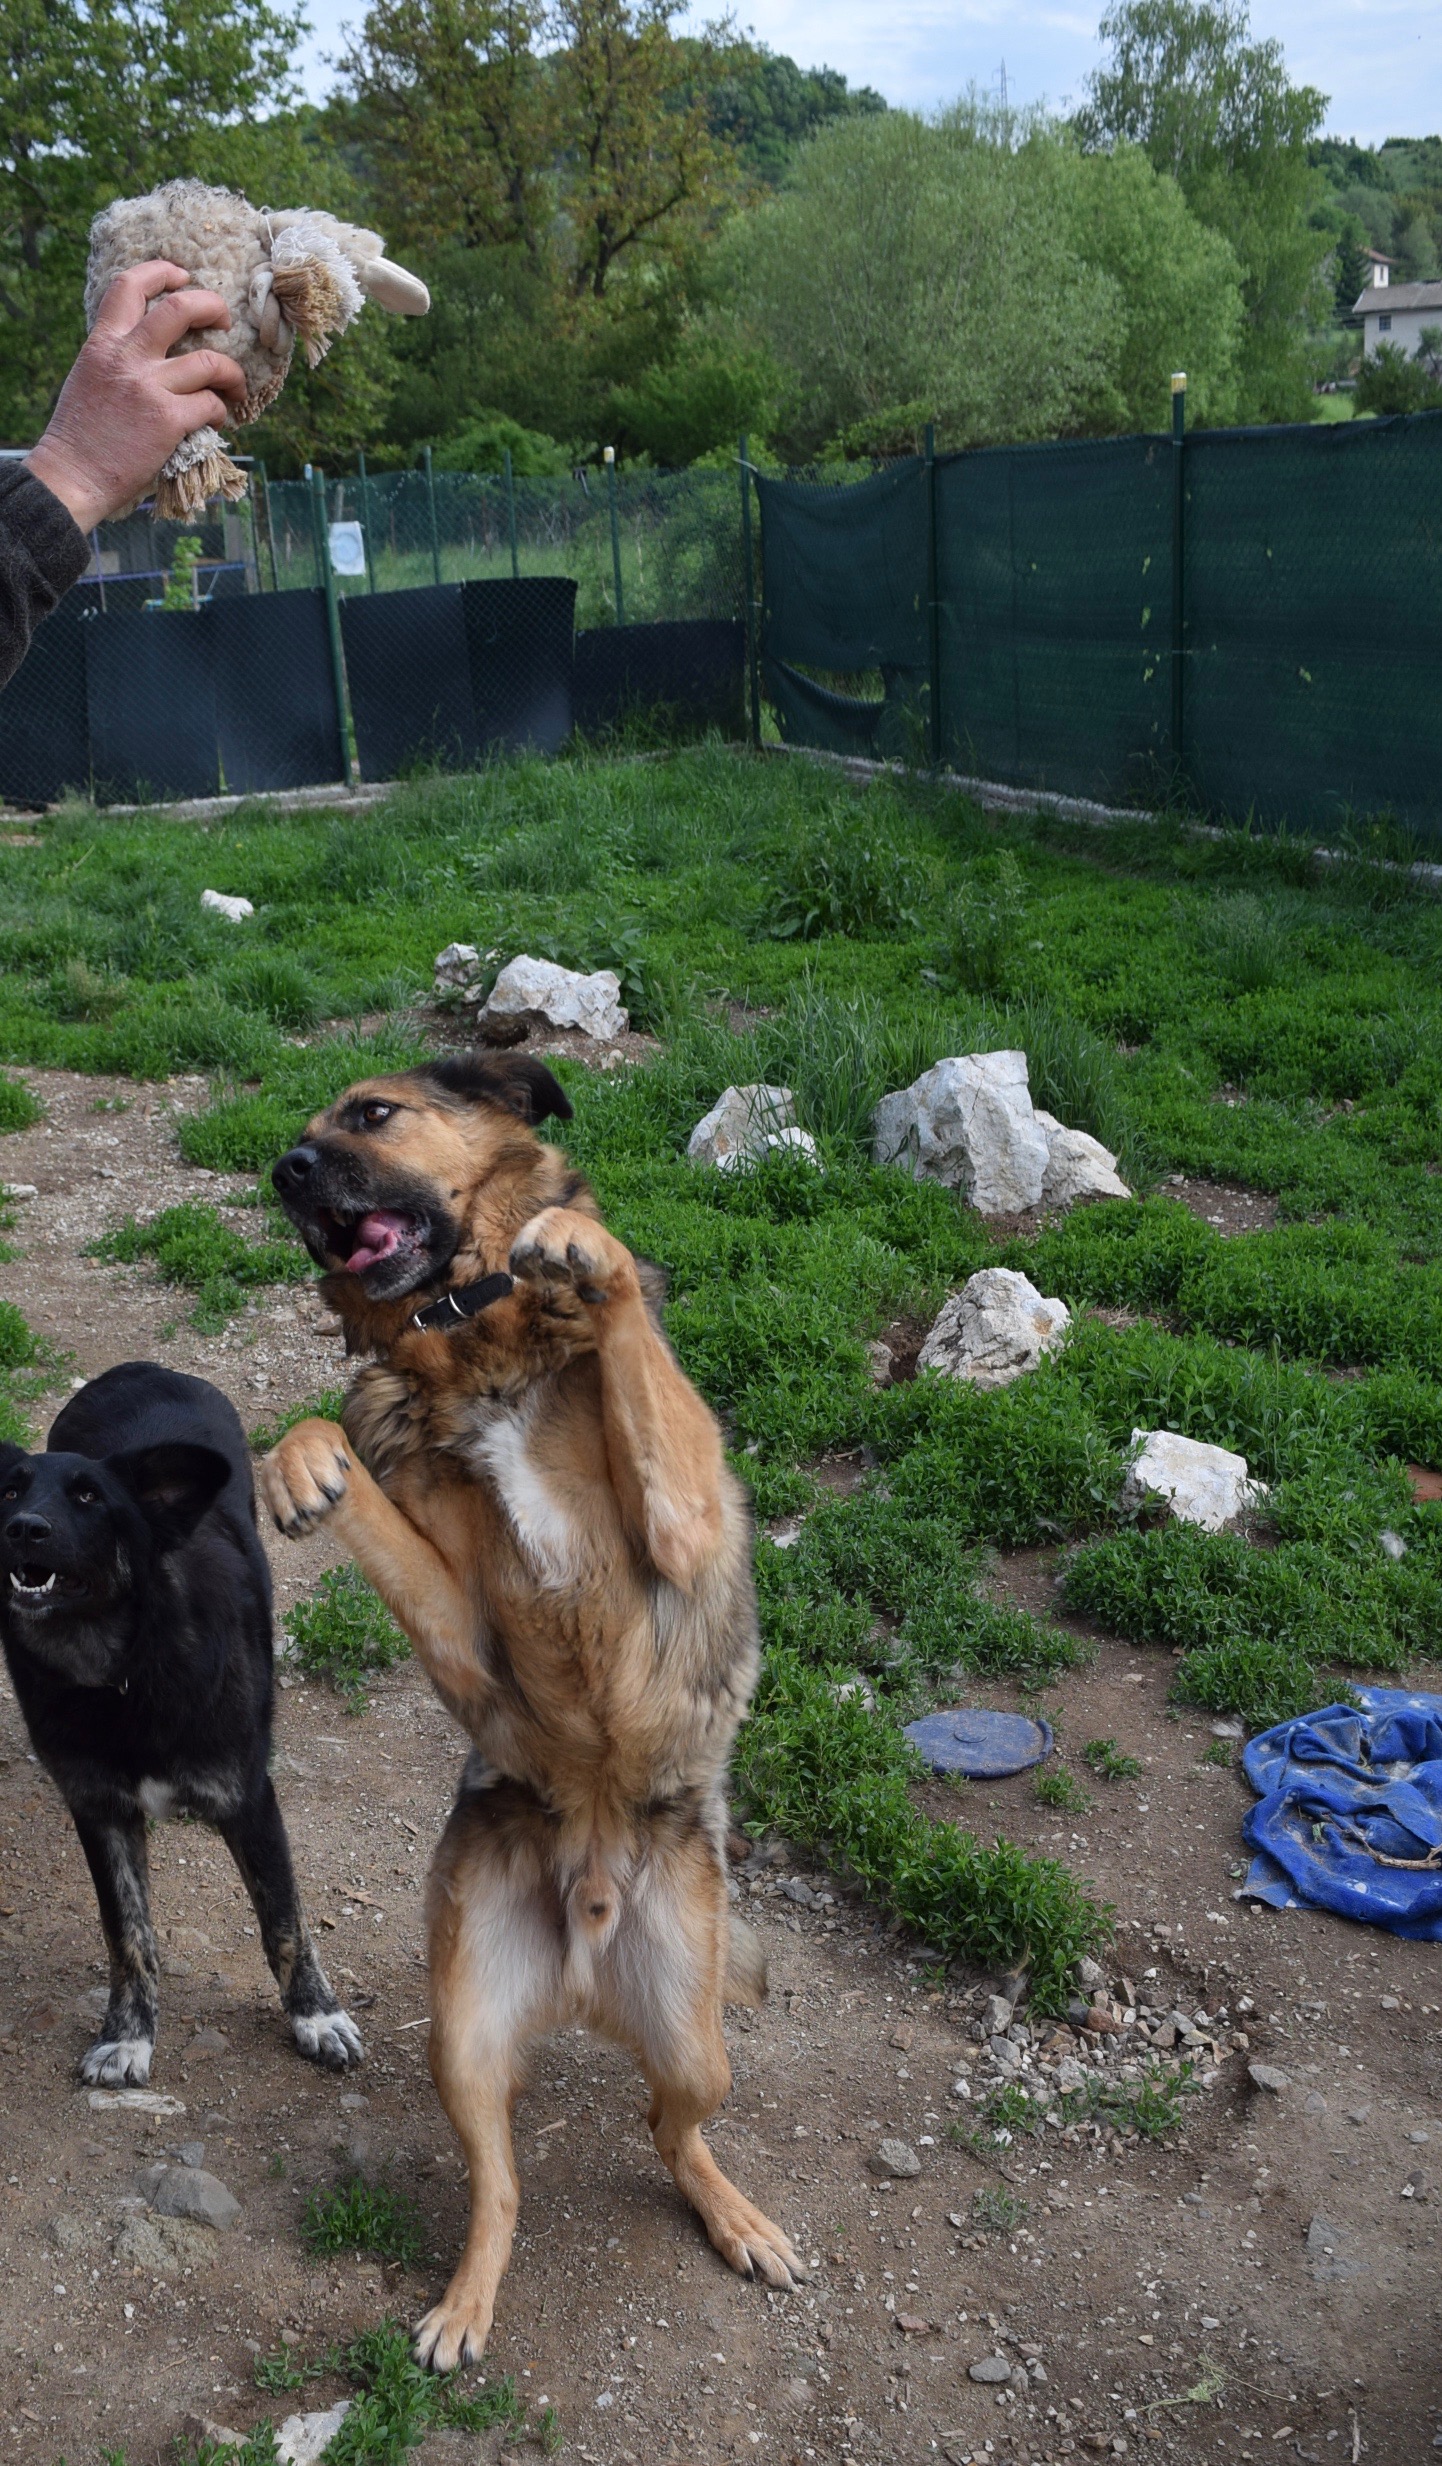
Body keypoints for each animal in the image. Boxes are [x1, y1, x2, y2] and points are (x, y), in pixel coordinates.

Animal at [0, 1361, 361, 2085]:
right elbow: (128, 1933)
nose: (22, 1527)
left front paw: (316, 2017)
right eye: (9, 1491)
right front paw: (128, 2035)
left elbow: (284, 1919)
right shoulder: (101, 1810)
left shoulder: (248, 1799)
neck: (120, 1671)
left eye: (89, 1497)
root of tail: (140, 1368)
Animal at [260, 1048, 801, 2368]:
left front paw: (580, 1259)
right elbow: (325, 1436)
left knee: (674, 2131)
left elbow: (621, 1331)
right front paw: (298, 1467)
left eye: (371, 1115)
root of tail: (588, 1939)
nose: (285, 1171)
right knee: (501, 2188)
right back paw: (463, 2306)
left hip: (697, 2042)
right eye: (300, 1135)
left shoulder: (679, 1522)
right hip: (460, 2035)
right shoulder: (470, 1644)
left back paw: (737, 2221)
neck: (464, 1331)